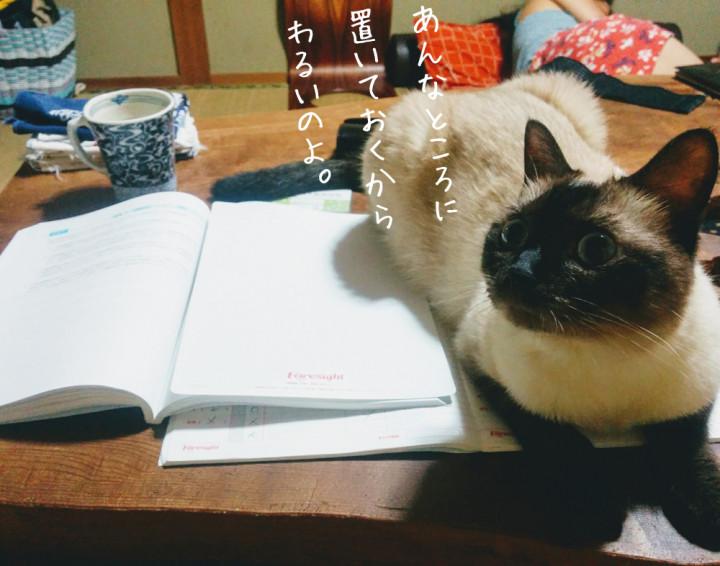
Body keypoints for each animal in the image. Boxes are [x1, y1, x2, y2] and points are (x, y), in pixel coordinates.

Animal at [362, 72, 720, 548]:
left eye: (595, 249)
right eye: (513, 234)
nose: (519, 270)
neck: (607, 351)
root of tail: (480, 91)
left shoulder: (693, 398)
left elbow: (685, 447)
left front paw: (708, 512)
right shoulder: (487, 371)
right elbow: (562, 442)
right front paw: (595, 512)